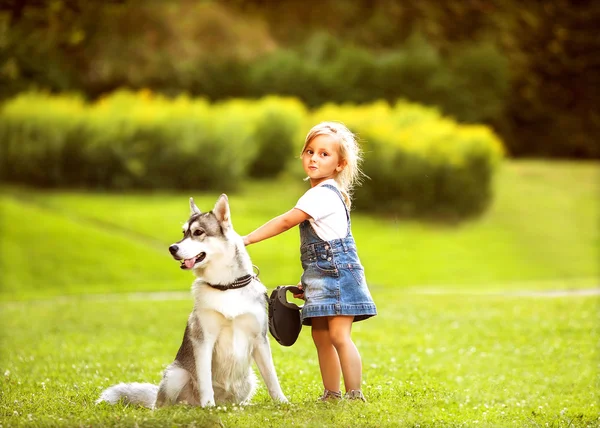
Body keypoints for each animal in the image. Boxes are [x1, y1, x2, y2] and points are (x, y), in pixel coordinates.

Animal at [96, 194, 288, 408]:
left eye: (198, 232)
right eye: (184, 233)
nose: (172, 248)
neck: (226, 286)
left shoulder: (259, 340)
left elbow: (272, 378)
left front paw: (283, 402)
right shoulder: (204, 341)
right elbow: (205, 380)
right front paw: (208, 407)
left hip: (249, 380)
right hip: (176, 375)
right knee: (162, 405)